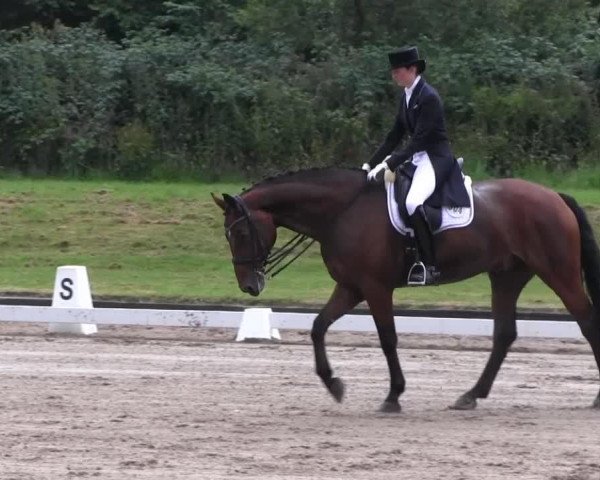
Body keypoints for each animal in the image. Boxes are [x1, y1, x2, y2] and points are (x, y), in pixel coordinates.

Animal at [211, 168, 600, 412]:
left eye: (241, 232)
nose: (250, 285)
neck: (342, 211)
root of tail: (555, 197)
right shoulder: (351, 286)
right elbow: (319, 327)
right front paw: (334, 384)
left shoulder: (375, 287)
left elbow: (388, 339)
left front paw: (393, 396)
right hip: (506, 276)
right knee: (504, 334)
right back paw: (471, 395)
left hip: (558, 272)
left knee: (587, 322)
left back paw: (596, 398)